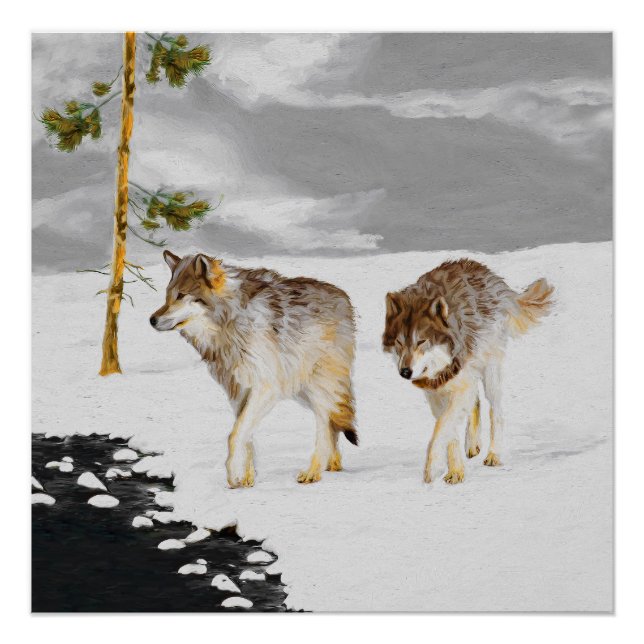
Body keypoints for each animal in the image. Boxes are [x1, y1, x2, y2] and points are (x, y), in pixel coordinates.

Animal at [150, 250, 357, 488]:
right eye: (167, 296)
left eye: (181, 295)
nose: (151, 320)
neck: (230, 322)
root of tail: (343, 297)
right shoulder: (239, 391)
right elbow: (245, 435)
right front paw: (247, 478)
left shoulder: (266, 388)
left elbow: (235, 435)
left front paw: (234, 476)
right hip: (300, 390)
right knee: (333, 422)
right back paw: (333, 464)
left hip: (316, 385)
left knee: (324, 423)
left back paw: (313, 471)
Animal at [383, 259, 554, 485]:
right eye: (399, 343)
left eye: (421, 341)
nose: (405, 371)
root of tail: (488, 274)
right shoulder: (435, 395)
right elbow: (449, 431)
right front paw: (455, 471)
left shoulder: (459, 388)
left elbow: (441, 429)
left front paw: (433, 468)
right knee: (476, 401)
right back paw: (472, 445)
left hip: (490, 373)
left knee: (496, 411)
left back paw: (494, 455)